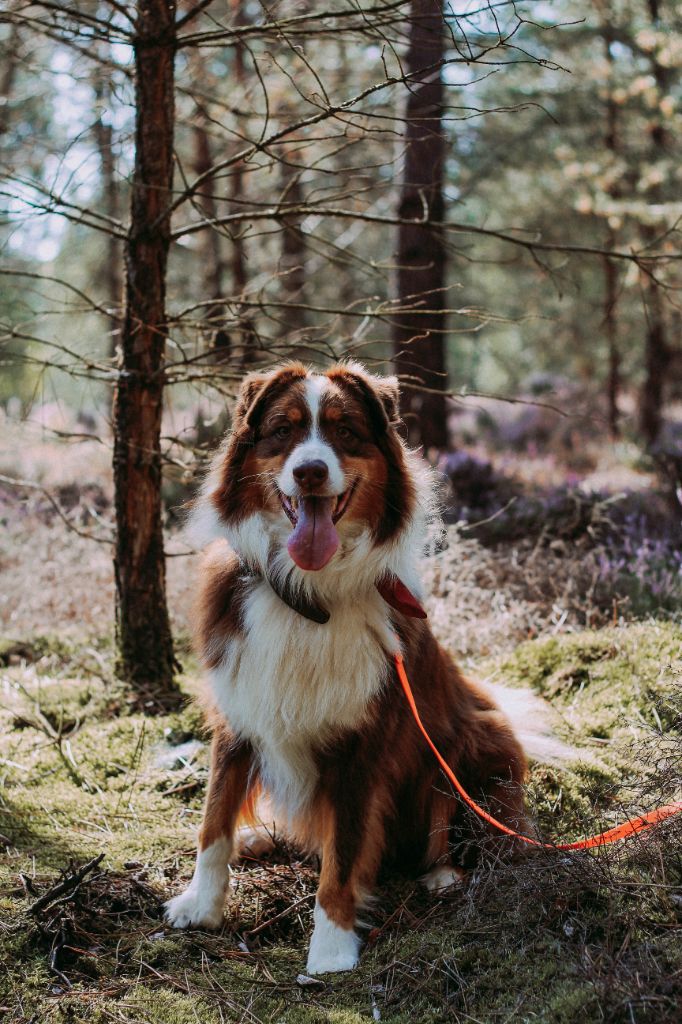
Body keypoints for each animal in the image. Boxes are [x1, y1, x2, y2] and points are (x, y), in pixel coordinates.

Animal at [165, 362, 548, 974]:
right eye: (283, 430)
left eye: (345, 432)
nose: (311, 471)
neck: (306, 595)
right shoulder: (239, 711)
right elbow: (214, 819)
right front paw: (201, 905)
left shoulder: (362, 744)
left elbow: (343, 853)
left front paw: (331, 948)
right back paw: (261, 835)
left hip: (471, 743)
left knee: (482, 833)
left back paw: (443, 875)